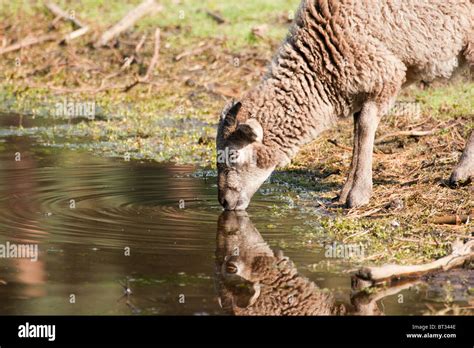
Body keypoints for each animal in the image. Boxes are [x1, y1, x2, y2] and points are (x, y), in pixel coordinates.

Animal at [216, 0, 474, 209]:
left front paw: (358, 196)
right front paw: (344, 192)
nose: (225, 202)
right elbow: (357, 131)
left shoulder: (384, 74)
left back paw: (461, 173)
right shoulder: (360, 85)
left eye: (233, 156)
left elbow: (366, 127)